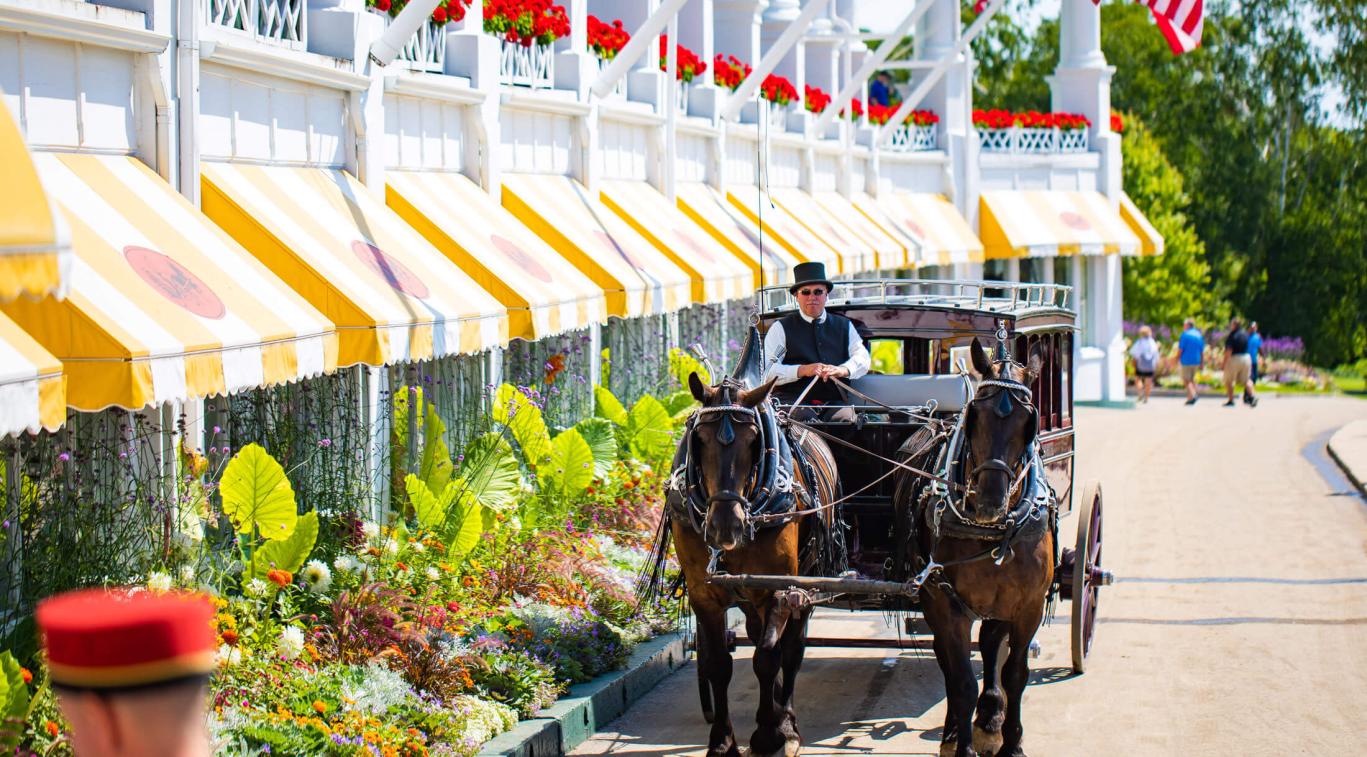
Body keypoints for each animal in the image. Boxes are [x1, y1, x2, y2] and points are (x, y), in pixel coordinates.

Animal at [658, 371, 836, 754]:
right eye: (698, 439)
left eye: (754, 441)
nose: (726, 526)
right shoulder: (704, 593)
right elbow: (717, 664)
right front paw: (722, 740)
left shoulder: (774, 590)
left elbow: (768, 658)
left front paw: (770, 734)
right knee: (759, 635)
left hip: (805, 581)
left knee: (791, 650)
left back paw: (786, 719)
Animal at [891, 337, 1049, 754]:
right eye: (974, 414)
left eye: (1030, 422)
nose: (990, 502)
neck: (991, 533)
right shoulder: (944, 600)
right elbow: (961, 680)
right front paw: (961, 744)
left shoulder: (1029, 604)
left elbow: (1015, 673)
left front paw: (1010, 741)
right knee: (949, 659)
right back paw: (954, 730)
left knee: (992, 644)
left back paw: (990, 718)